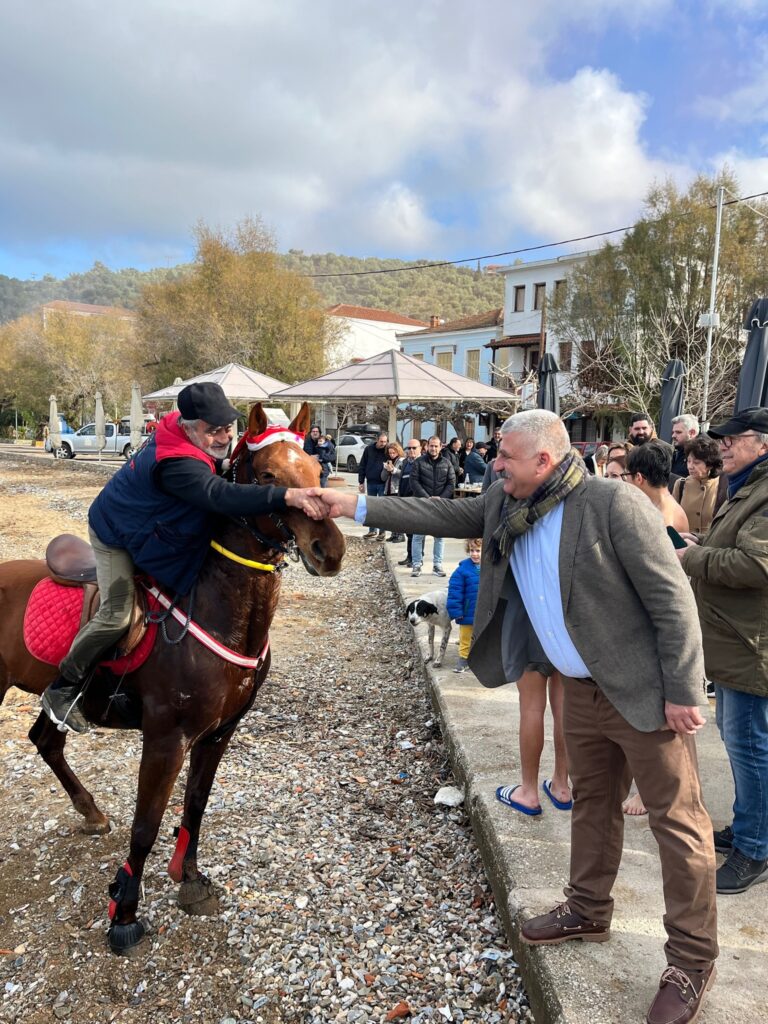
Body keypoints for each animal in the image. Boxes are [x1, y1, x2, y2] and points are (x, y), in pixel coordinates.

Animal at [0, 399, 346, 950]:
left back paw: (90, 811)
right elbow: (146, 824)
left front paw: (189, 876)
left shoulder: (219, 734)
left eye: (317, 469)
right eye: (267, 475)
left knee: (47, 741)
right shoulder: (166, 738)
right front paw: (123, 911)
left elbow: (195, 807)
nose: (328, 551)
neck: (216, 607)